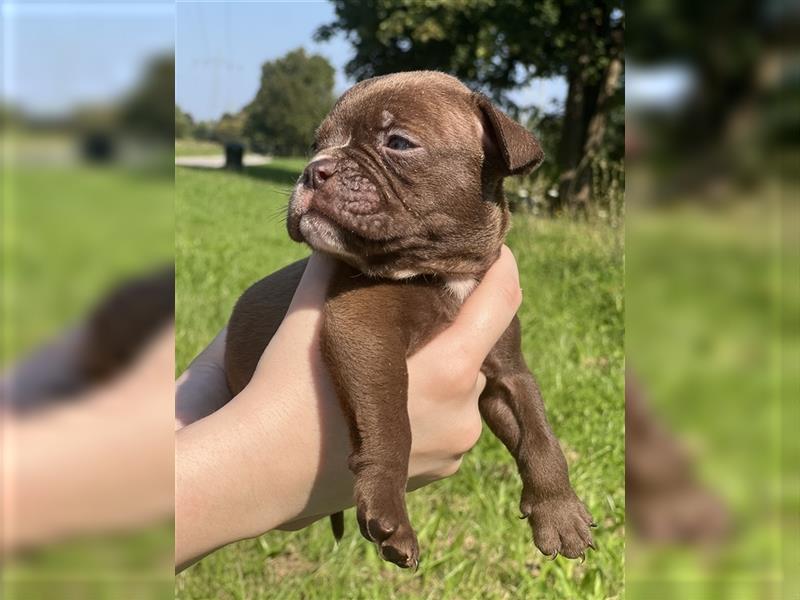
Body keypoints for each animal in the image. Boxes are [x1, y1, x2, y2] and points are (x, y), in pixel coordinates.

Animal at [225, 70, 592, 568]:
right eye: (315, 145)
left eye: (398, 142)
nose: (314, 169)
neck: (446, 273)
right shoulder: (366, 332)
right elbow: (392, 420)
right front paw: (388, 512)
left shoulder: (507, 372)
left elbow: (538, 433)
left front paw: (560, 510)